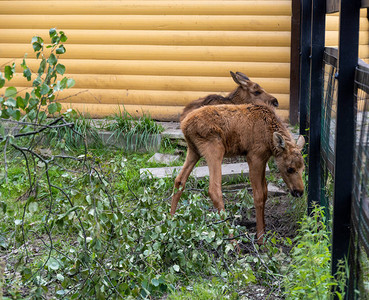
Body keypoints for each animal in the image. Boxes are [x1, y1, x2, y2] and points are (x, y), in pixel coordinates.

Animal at [171, 103, 304, 244]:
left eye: (303, 167)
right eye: (290, 169)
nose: (299, 192)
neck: (270, 140)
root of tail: (184, 125)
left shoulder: (263, 159)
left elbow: (265, 192)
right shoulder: (254, 156)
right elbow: (258, 196)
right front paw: (260, 238)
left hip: (193, 150)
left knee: (179, 180)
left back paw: (171, 222)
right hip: (214, 147)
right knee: (214, 190)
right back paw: (233, 242)